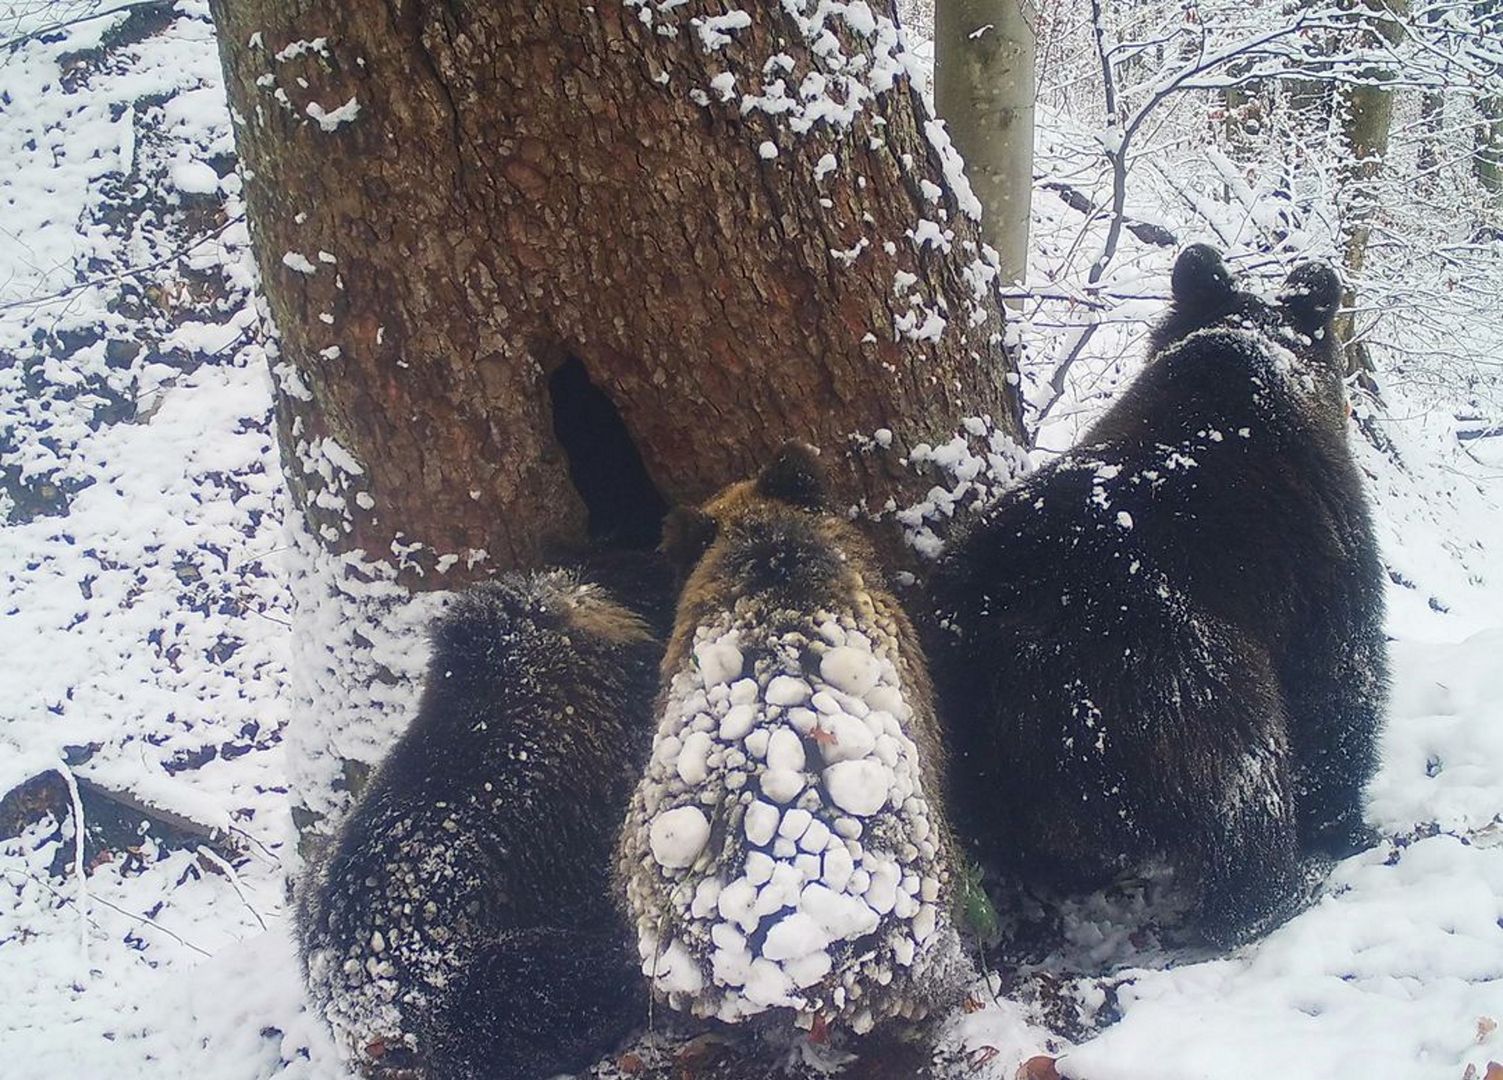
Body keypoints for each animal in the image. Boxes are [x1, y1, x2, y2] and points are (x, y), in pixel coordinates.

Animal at [931, 247, 1388, 949]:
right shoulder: (1323, 566)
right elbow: (1338, 690)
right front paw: (1345, 826)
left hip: (976, 734)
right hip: (1170, 671)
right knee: (1241, 775)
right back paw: (1272, 894)